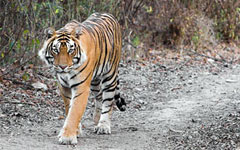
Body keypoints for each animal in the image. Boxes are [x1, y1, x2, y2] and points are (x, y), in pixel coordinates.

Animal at [37, 12, 126, 144]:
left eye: (71, 50)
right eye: (55, 50)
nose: (62, 67)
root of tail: (108, 14)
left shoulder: (81, 87)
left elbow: (75, 111)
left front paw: (67, 137)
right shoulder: (64, 86)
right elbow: (69, 108)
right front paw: (76, 131)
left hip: (110, 76)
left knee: (108, 101)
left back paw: (103, 126)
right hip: (94, 81)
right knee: (99, 96)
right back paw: (97, 119)